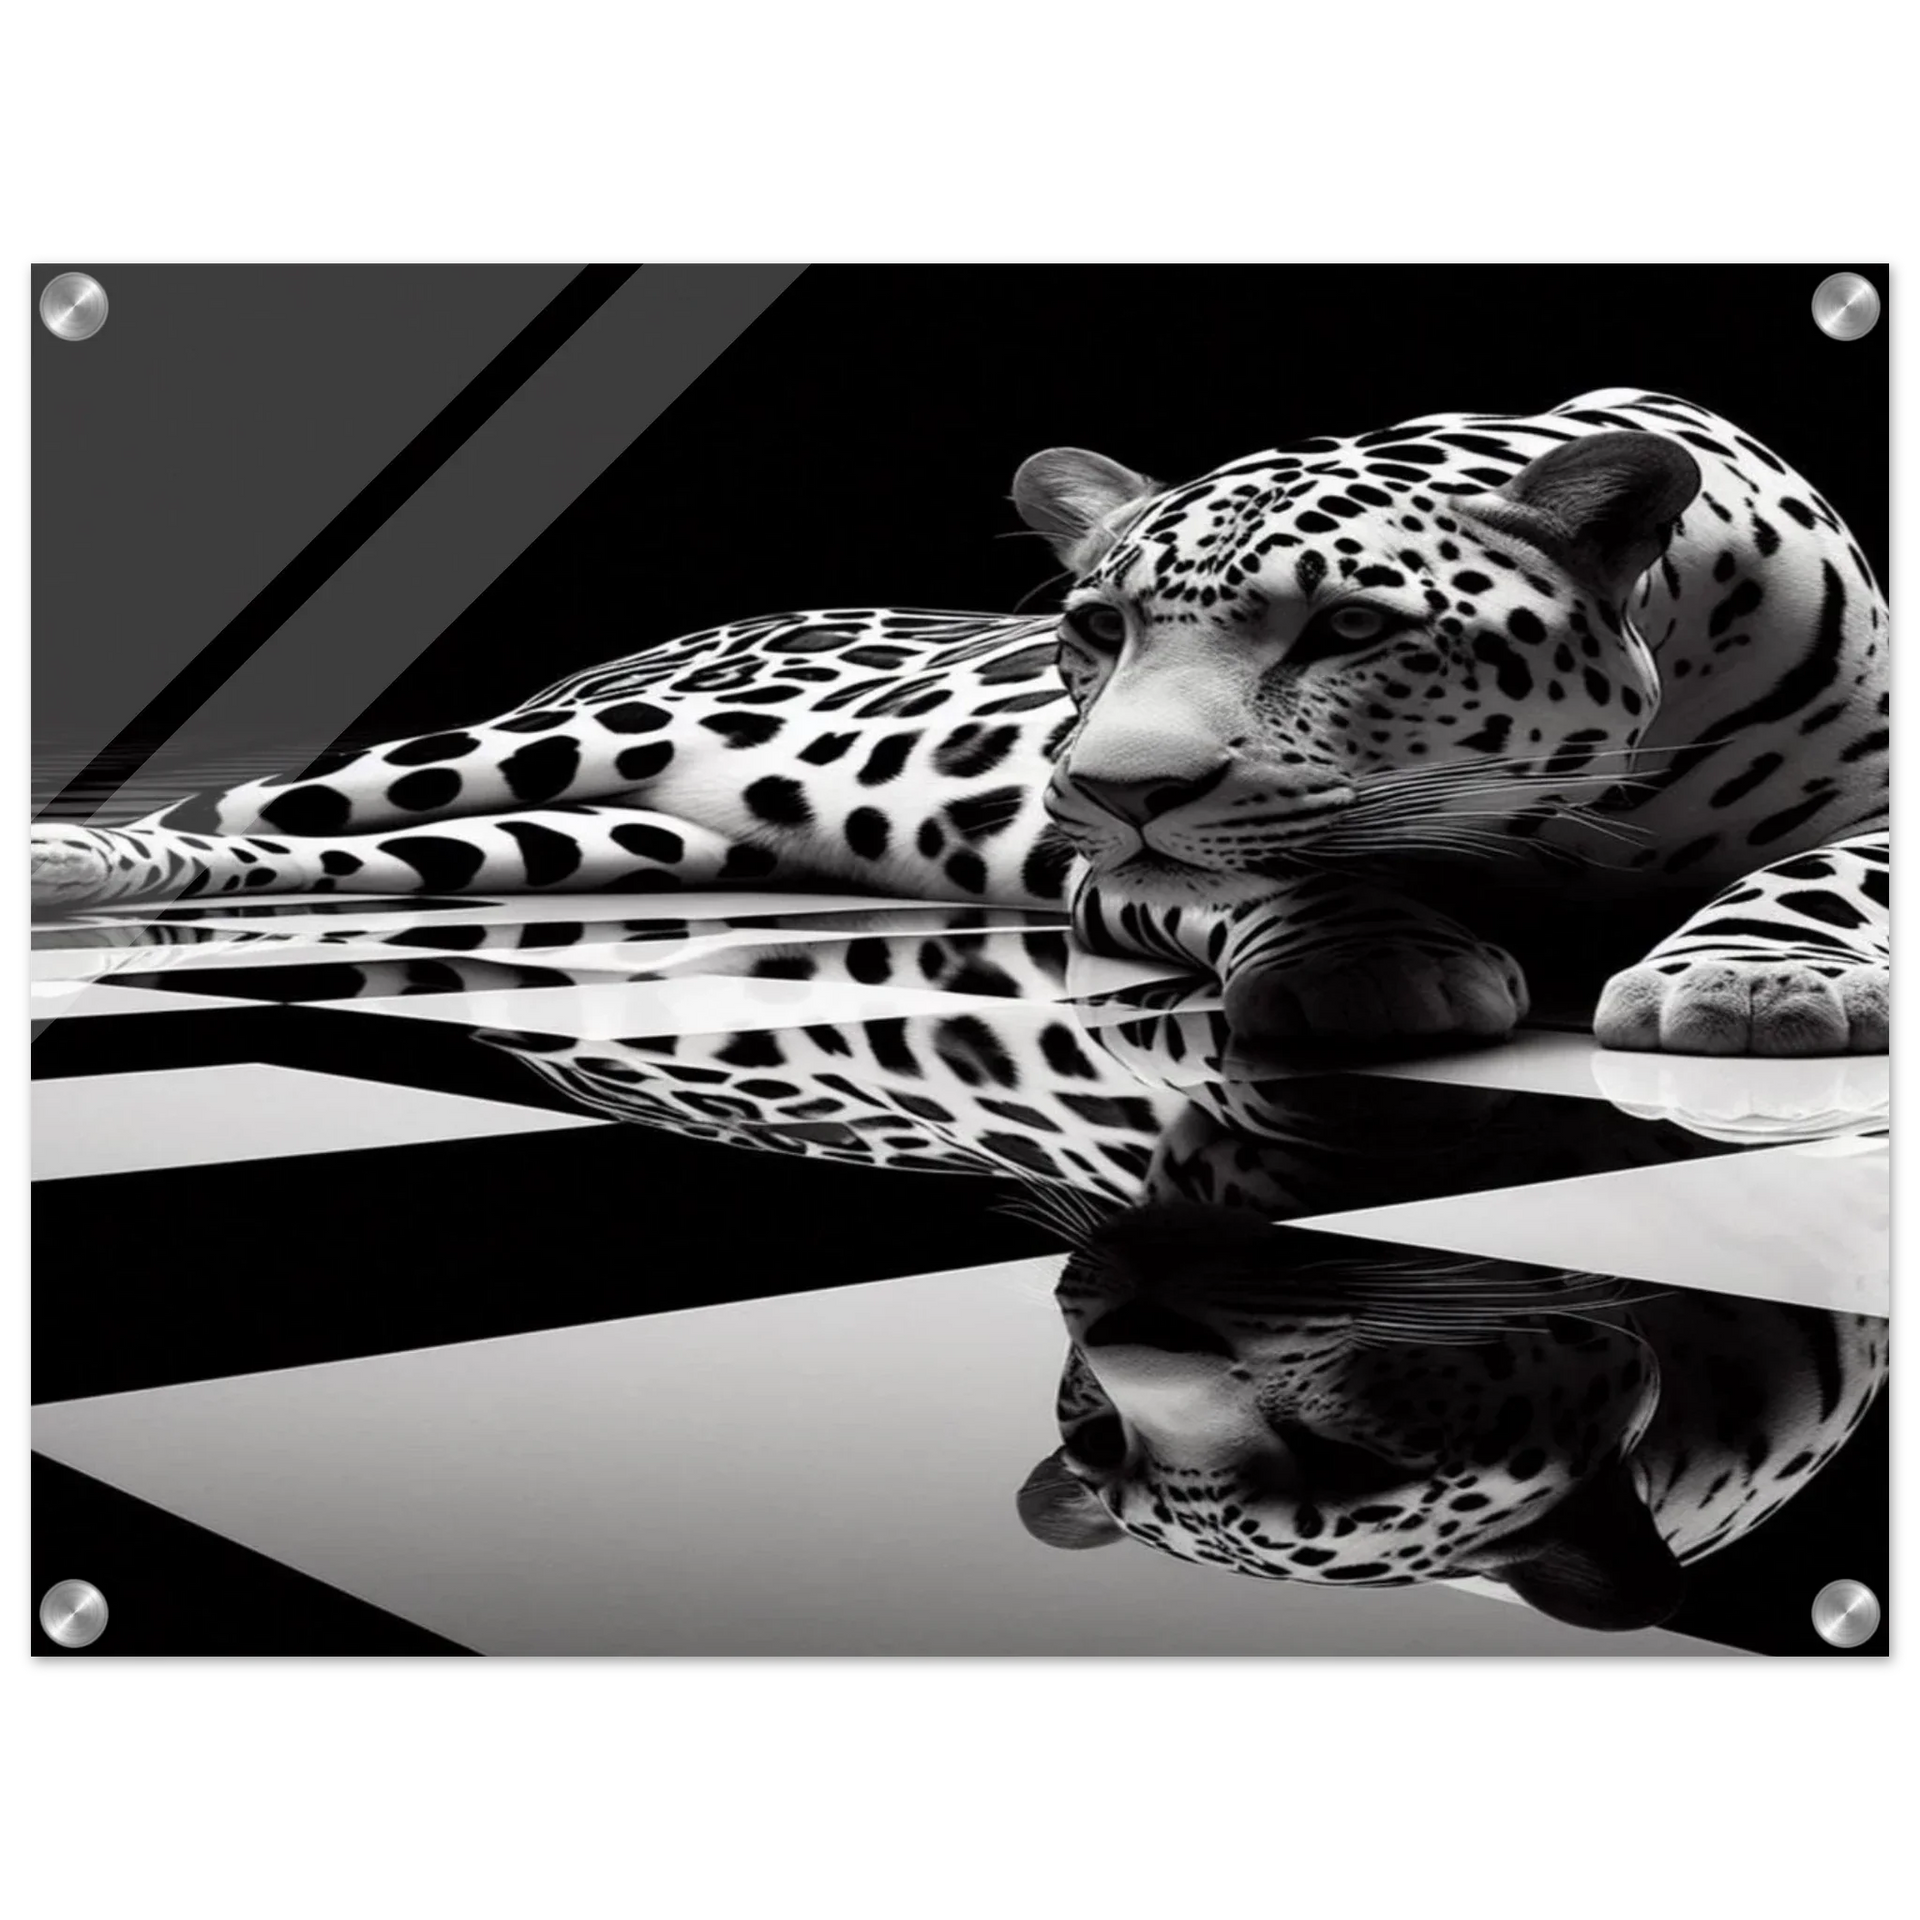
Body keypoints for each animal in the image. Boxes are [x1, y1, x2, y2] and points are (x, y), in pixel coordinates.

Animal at [30, 389, 1891, 1059]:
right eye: (1096, 629)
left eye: (1354, 629)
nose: (1109, 784)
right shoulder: (1121, 874)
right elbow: (1275, 872)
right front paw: (1375, 961)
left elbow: (1827, 873)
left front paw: (1757, 979)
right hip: (526, 754)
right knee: (244, 809)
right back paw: (70, 863)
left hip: (575, 834)